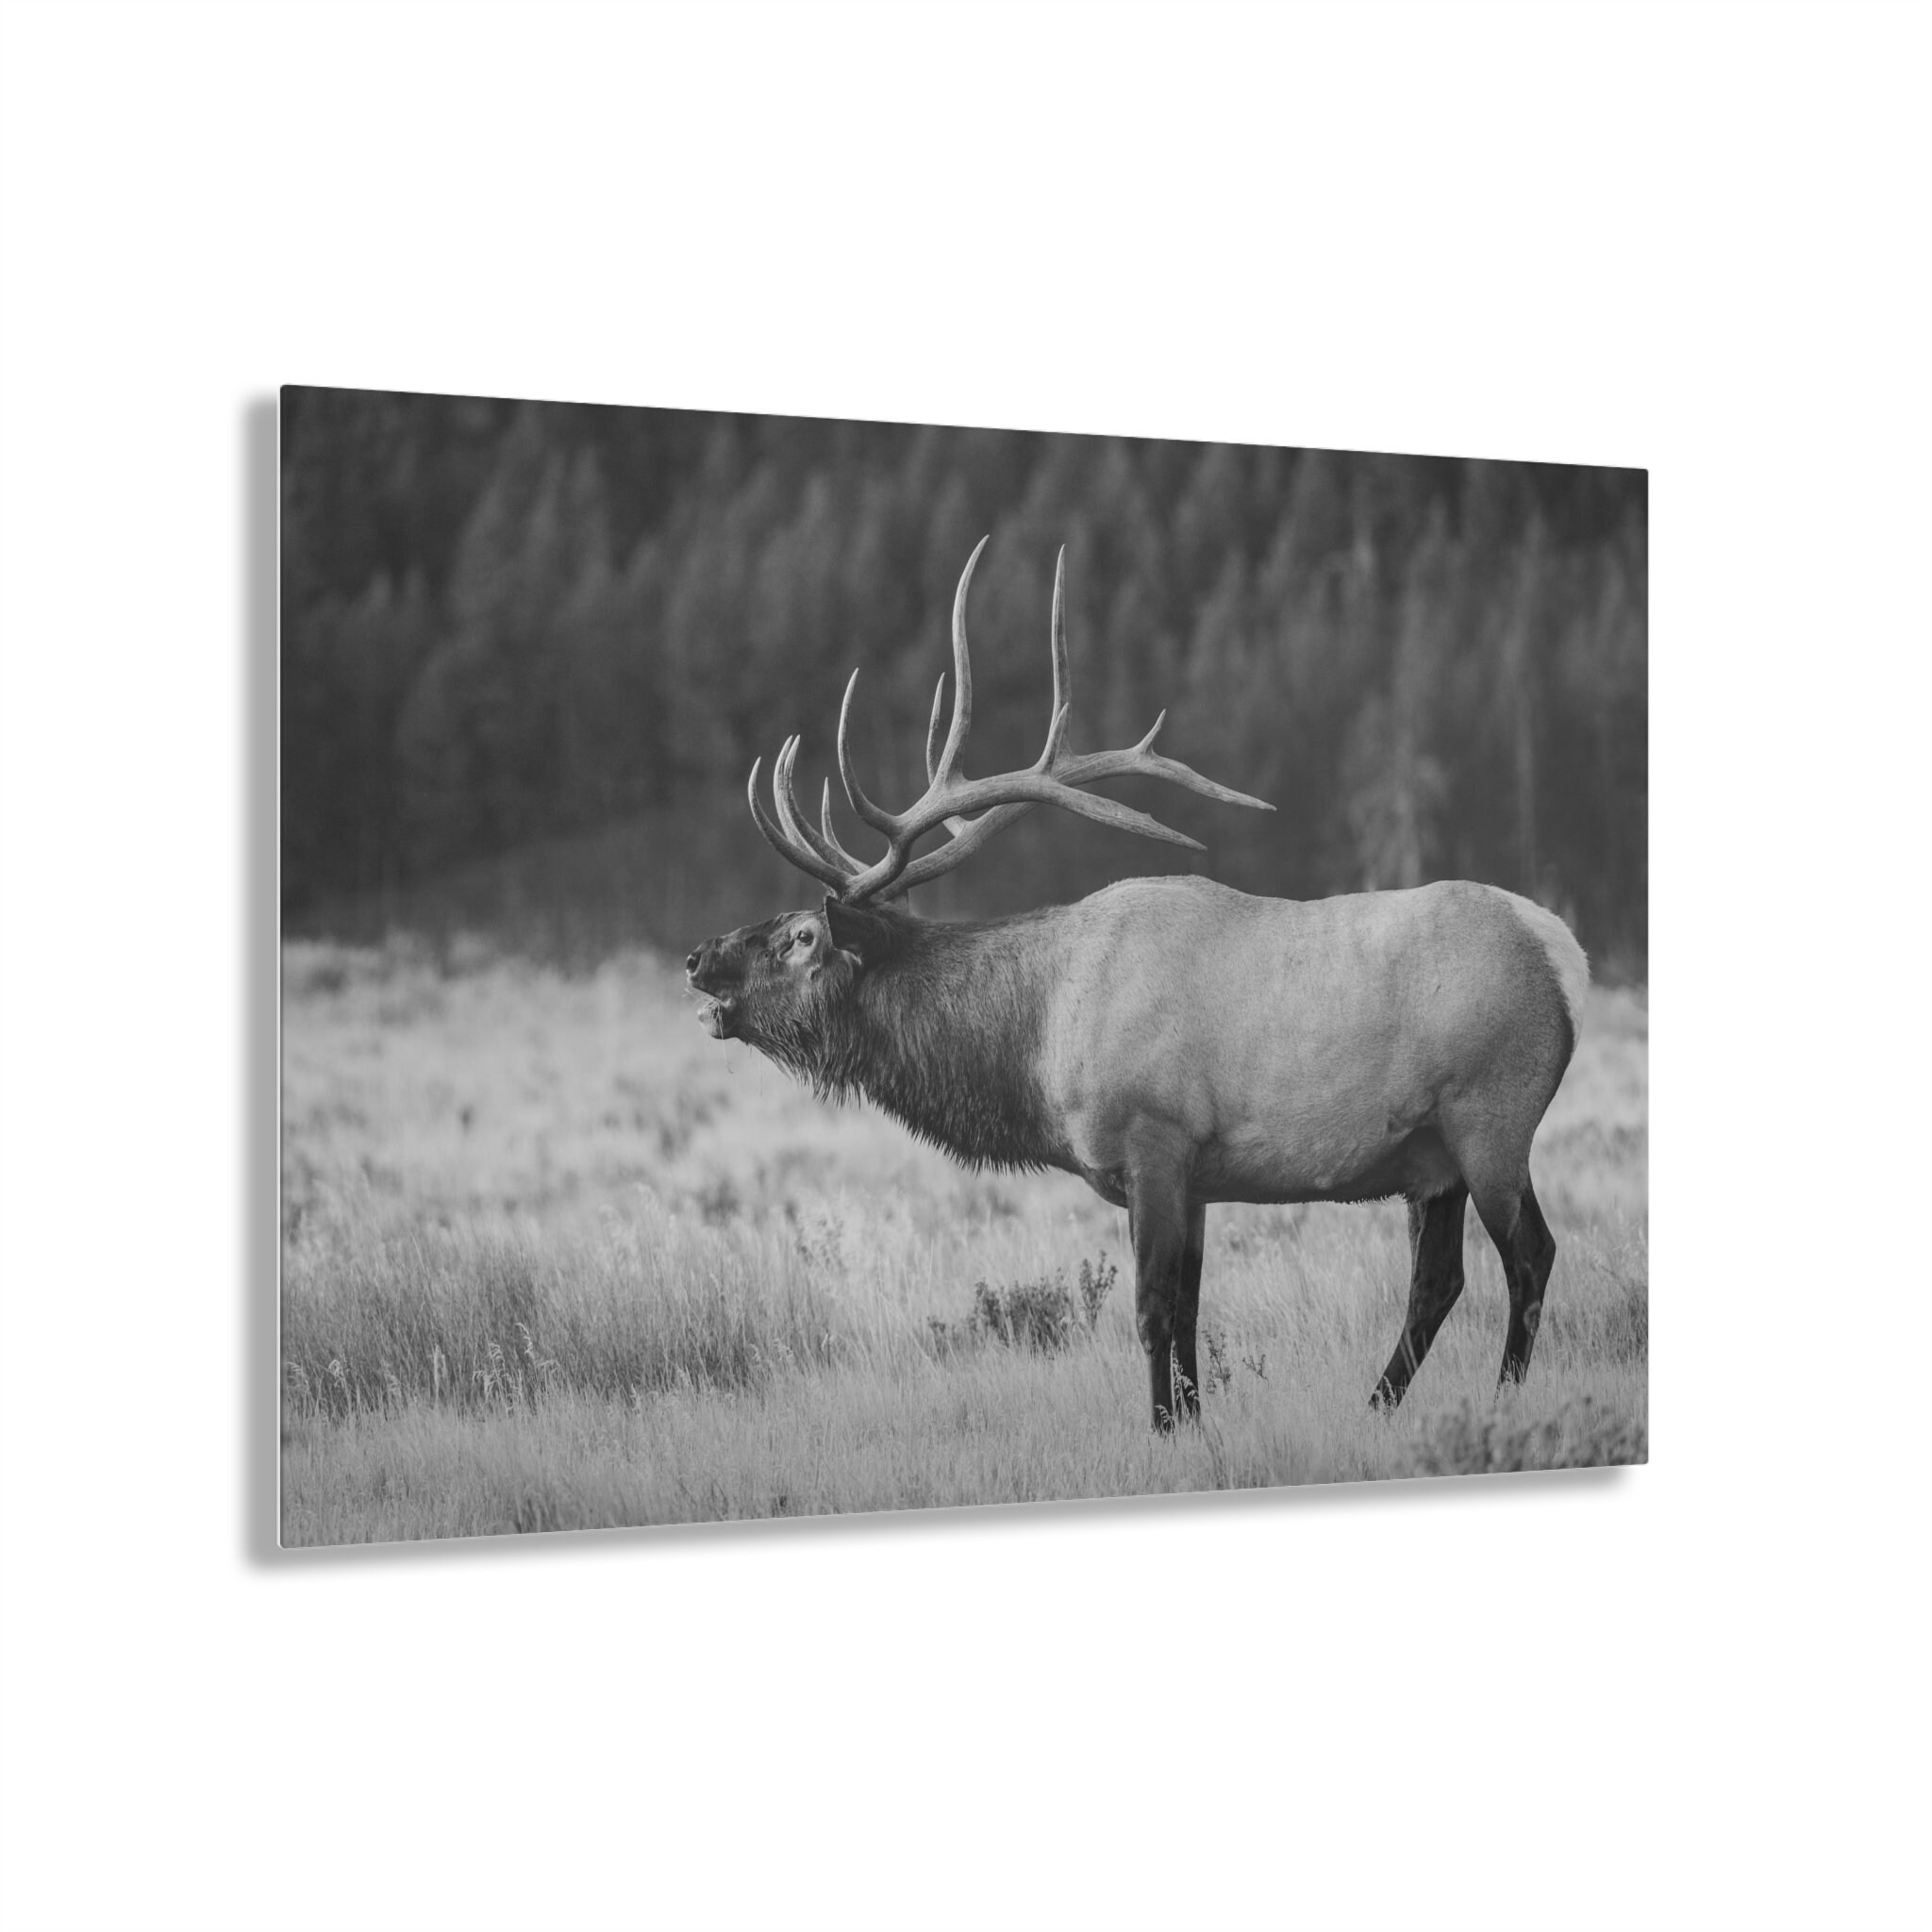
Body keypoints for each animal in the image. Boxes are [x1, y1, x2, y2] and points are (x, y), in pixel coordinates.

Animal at [684, 538, 1589, 1430]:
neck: (1038, 1044)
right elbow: (1188, 1312)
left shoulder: (1154, 1140)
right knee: (1438, 1281)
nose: (698, 957)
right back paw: (1377, 1407)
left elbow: (1154, 1309)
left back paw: (1502, 1401)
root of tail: (1566, 956)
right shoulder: (1193, 1179)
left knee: (1531, 1256)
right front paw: (1190, 1421)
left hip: (1491, 1119)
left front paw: (1161, 1429)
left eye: (800, 939)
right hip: (1433, 1158)